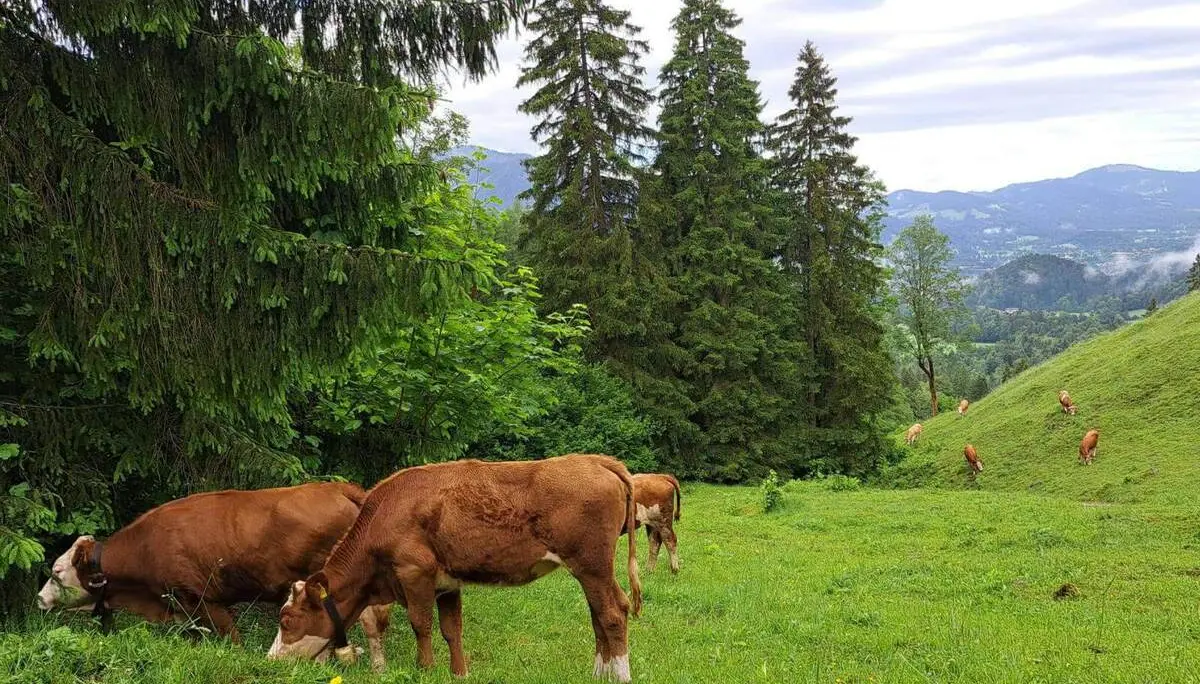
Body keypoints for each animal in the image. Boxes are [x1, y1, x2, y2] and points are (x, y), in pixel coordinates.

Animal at [36, 482, 393, 669]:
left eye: (56, 572)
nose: (39, 598)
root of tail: (334, 487)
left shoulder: (202, 600)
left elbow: (232, 640)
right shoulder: (184, 608)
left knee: (366, 622)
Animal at [267, 453, 643, 683]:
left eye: (287, 620)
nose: (271, 660)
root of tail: (596, 460)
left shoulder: (414, 571)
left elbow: (421, 625)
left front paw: (425, 669)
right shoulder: (448, 582)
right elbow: (452, 629)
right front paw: (458, 673)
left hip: (591, 563)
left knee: (611, 613)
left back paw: (621, 675)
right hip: (590, 568)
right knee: (601, 612)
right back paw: (599, 674)